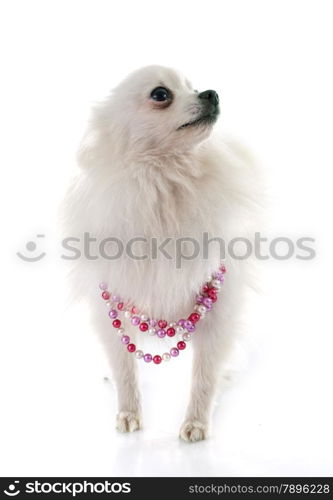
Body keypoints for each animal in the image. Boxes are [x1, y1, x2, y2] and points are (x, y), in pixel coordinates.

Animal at [63, 65, 260, 442]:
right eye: (160, 95)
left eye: (193, 87)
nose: (211, 93)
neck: (165, 181)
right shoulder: (112, 306)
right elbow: (124, 366)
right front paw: (128, 412)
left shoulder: (220, 308)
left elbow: (204, 374)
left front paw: (196, 421)